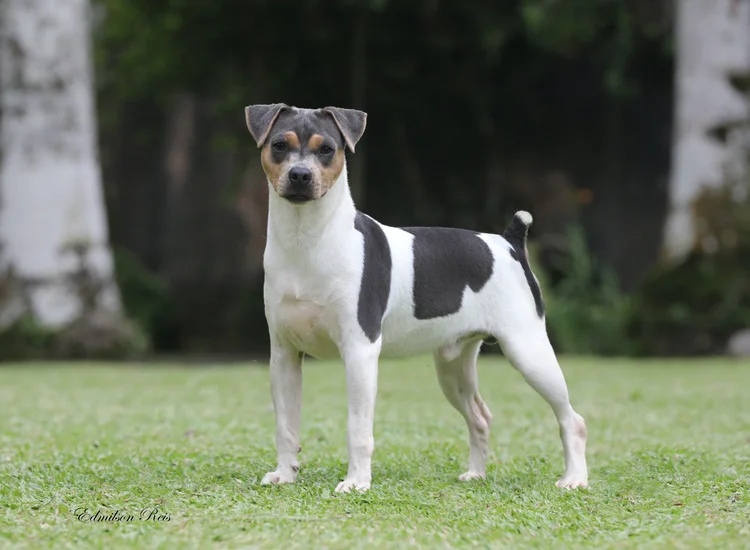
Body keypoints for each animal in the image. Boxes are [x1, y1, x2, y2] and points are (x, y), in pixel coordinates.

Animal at [244, 104, 592, 496]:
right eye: (279, 145)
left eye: (327, 149)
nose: (300, 175)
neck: (308, 240)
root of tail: (509, 241)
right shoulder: (284, 355)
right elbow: (286, 426)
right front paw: (285, 474)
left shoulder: (360, 352)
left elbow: (358, 428)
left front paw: (356, 481)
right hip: (453, 367)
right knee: (480, 417)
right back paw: (476, 473)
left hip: (528, 351)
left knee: (572, 419)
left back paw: (574, 478)